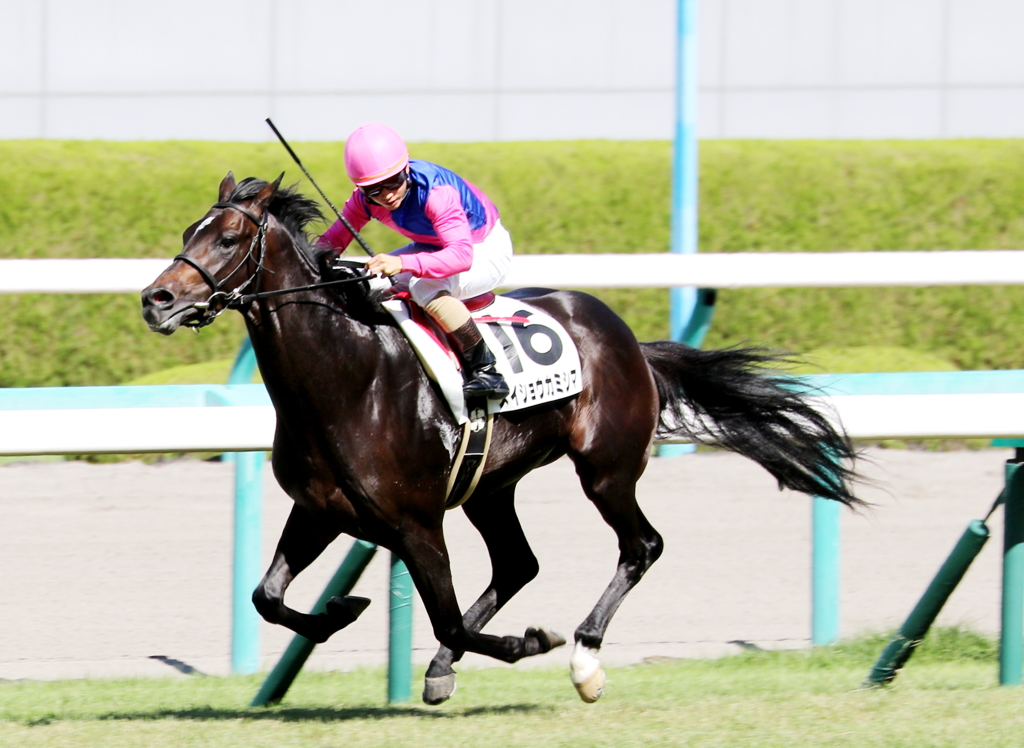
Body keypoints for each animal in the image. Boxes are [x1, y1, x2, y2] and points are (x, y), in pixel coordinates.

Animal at [140, 172, 860, 700]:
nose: (156, 299)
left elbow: (450, 617)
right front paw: (343, 609)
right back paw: (443, 667)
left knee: (641, 546)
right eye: (188, 231)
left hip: (605, 469)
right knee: (519, 563)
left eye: (229, 237)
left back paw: (584, 660)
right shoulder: (321, 510)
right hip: (492, 486)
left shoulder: (415, 524)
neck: (347, 378)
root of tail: (629, 339)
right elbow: (268, 597)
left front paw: (528, 642)